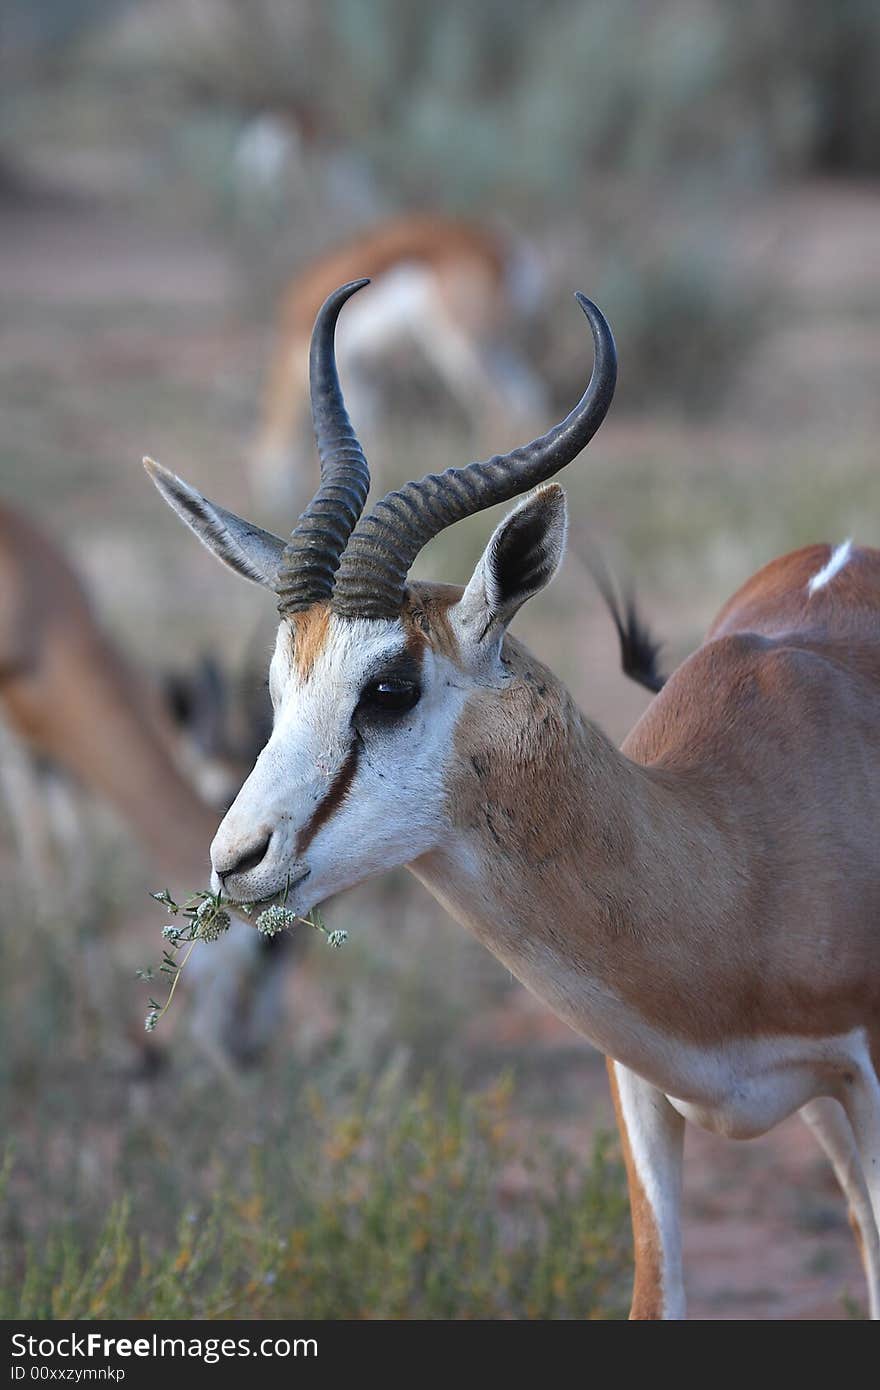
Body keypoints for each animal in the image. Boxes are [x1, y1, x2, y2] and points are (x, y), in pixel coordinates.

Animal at [0, 508, 280, 1061]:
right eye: (268, 946)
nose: (249, 1048)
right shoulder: (17, 757)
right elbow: (50, 880)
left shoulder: (58, 761)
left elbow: (82, 894)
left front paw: (111, 1041)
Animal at [247, 216, 542, 517]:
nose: (268, 511)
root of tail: (501, 249)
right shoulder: (369, 378)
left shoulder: (350, 376)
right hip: (497, 346)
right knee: (526, 398)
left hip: (459, 344)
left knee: (497, 407)